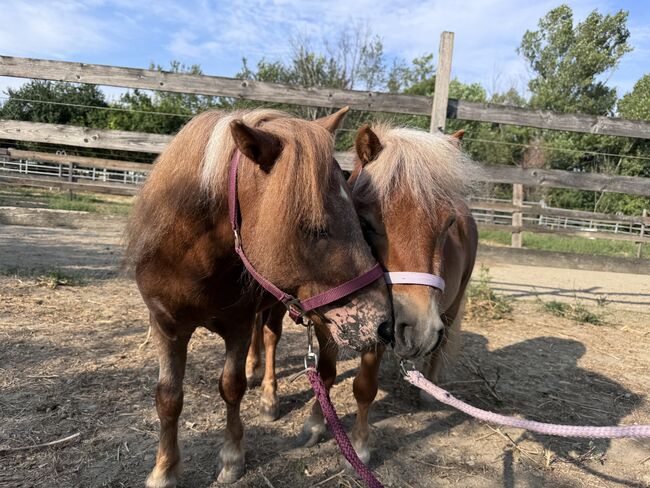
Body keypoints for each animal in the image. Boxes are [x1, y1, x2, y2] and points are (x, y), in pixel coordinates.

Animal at [125, 108, 390, 486]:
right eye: (312, 227)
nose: (383, 323)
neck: (191, 261)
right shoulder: (166, 327)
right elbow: (168, 398)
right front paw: (164, 470)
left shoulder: (236, 325)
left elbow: (230, 386)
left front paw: (232, 458)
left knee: (270, 338)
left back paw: (268, 397)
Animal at [243, 122, 476, 462]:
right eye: (365, 221)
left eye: (447, 224)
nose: (417, 328)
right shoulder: (325, 325)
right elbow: (325, 375)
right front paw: (315, 425)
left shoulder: (381, 330)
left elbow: (364, 388)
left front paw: (360, 445)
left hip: (451, 307)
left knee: (441, 344)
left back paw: (429, 390)